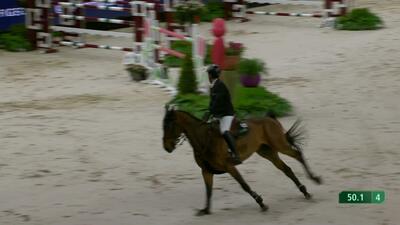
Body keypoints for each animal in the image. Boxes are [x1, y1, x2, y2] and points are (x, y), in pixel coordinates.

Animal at [161, 106, 320, 215]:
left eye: (169, 125)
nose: (166, 147)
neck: (204, 139)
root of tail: (269, 118)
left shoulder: (230, 166)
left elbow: (244, 185)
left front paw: (261, 203)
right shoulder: (206, 171)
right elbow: (208, 190)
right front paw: (205, 210)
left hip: (279, 145)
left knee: (298, 155)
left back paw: (315, 179)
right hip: (267, 152)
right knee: (286, 169)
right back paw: (304, 191)